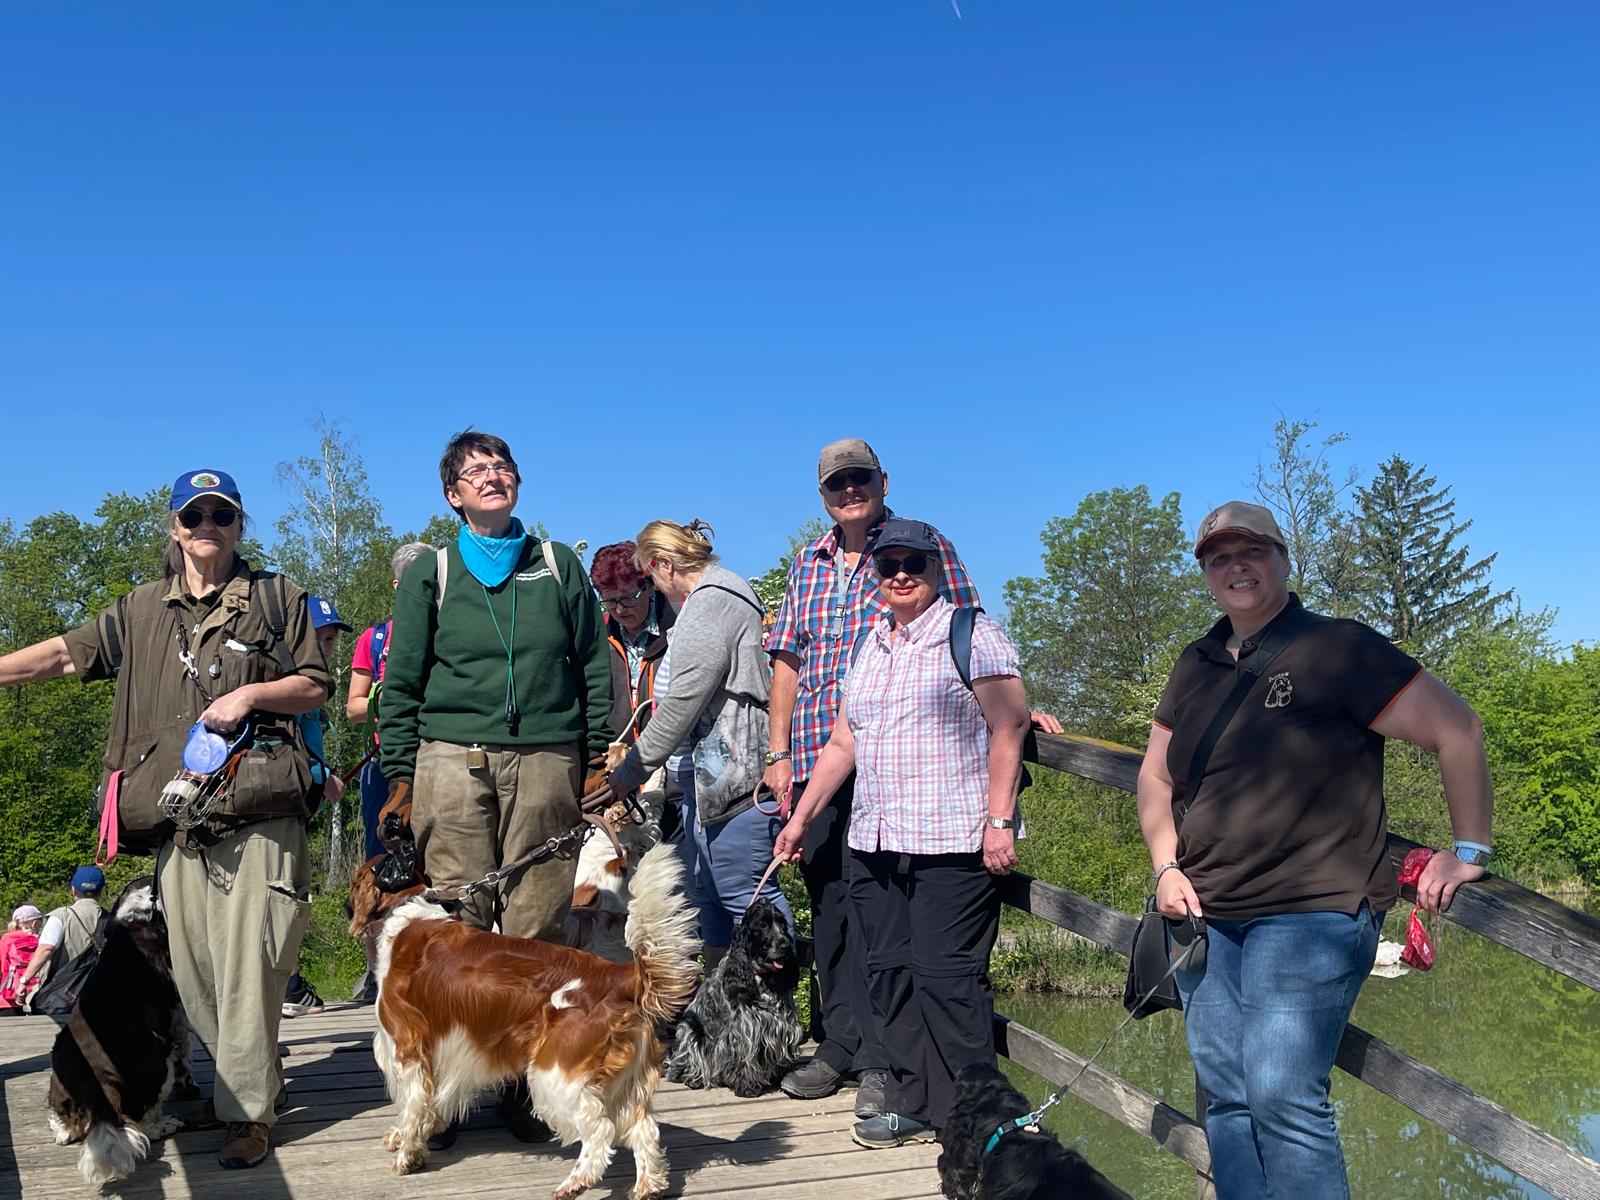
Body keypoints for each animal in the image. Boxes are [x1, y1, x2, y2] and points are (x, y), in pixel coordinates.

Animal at [46, 876, 194, 1186]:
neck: (134, 921)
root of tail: (95, 1082)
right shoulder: (176, 1013)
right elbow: (185, 1051)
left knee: (67, 1124)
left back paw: (62, 1129)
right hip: (159, 1061)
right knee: (144, 1119)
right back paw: (165, 1124)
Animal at [373, 842, 699, 1200]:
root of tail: (620, 975)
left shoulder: (406, 1047)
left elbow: (412, 1103)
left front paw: (407, 1155)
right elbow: (427, 1104)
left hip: (555, 1074)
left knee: (600, 1130)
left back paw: (575, 1183)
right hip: (623, 1081)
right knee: (643, 1128)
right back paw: (646, 1187)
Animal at [662, 898, 802, 1097]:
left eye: (783, 925)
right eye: (763, 925)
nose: (785, 946)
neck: (762, 977)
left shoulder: (782, 1023)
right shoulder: (744, 1029)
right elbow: (744, 1058)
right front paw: (747, 1087)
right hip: (689, 1033)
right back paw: (693, 1079)